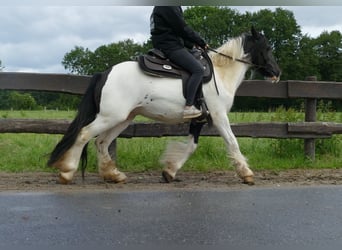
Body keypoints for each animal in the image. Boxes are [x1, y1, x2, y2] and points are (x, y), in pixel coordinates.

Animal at [49, 27, 282, 185]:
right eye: (268, 47)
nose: (277, 73)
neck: (220, 72)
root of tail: (105, 73)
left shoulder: (199, 119)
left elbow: (191, 146)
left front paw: (170, 171)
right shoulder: (218, 116)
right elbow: (233, 142)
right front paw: (247, 174)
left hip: (123, 118)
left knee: (101, 142)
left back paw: (113, 175)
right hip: (110, 117)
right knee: (84, 135)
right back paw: (67, 172)